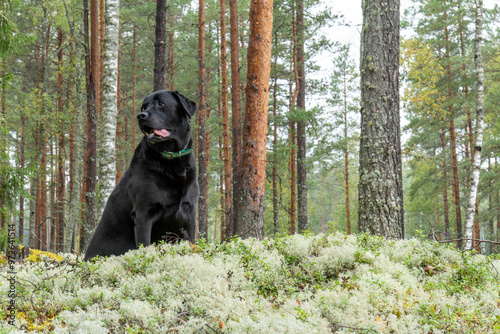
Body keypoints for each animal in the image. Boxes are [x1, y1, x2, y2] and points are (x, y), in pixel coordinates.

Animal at [83, 91, 197, 260]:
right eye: (143, 107)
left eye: (161, 104)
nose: (140, 116)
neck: (172, 161)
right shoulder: (144, 213)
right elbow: (145, 246)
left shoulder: (189, 213)